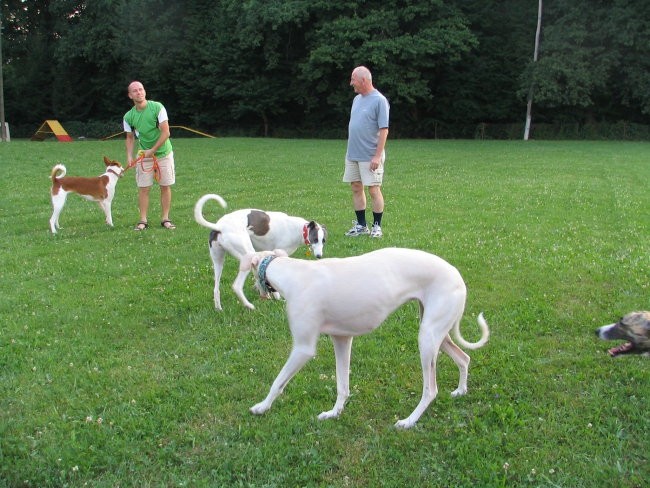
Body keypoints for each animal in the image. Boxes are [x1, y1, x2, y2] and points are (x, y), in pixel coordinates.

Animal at [191, 193, 324, 310]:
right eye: (315, 239)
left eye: (324, 241)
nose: (319, 256)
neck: (300, 229)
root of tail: (220, 226)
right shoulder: (279, 254)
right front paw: (277, 297)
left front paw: (266, 293)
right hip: (247, 256)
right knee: (237, 286)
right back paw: (249, 305)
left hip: (218, 261)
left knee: (216, 288)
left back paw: (219, 308)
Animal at [246, 248, 488, 428]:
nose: (256, 290)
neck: (294, 273)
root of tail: (456, 274)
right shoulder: (342, 339)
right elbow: (342, 385)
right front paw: (334, 413)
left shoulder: (303, 348)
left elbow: (278, 382)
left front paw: (261, 407)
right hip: (437, 332)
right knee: (464, 358)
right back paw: (460, 390)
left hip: (427, 339)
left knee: (431, 390)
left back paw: (409, 421)